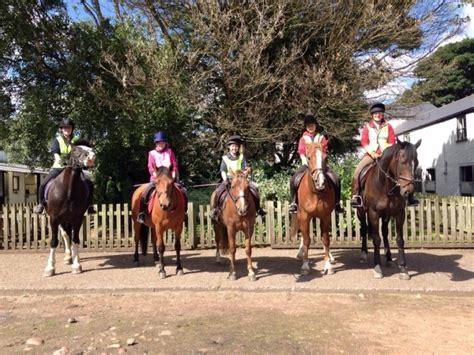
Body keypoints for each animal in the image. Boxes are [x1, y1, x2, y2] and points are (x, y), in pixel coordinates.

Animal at [43, 142, 96, 278]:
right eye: (76, 150)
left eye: (91, 149)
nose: (91, 157)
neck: (68, 190)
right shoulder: (54, 219)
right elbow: (54, 241)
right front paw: (50, 268)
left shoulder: (77, 219)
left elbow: (76, 239)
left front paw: (76, 265)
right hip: (61, 220)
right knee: (65, 235)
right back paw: (67, 257)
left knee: (69, 236)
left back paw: (71, 256)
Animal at [288, 143, 336, 276]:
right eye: (308, 157)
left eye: (325, 157)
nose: (321, 182)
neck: (316, 192)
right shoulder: (304, 216)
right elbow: (306, 240)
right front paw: (305, 266)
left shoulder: (325, 216)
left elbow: (325, 239)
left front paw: (328, 265)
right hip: (301, 215)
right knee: (303, 235)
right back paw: (300, 253)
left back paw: (330, 256)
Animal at [356, 138, 422, 280]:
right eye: (402, 161)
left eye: (417, 162)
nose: (408, 192)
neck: (386, 186)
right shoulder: (373, 214)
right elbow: (376, 239)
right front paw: (377, 267)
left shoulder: (399, 214)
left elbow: (399, 240)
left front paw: (403, 269)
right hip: (361, 212)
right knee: (364, 229)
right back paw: (363, 254)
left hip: (386, 216)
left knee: (385, 232)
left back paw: (389, 259)